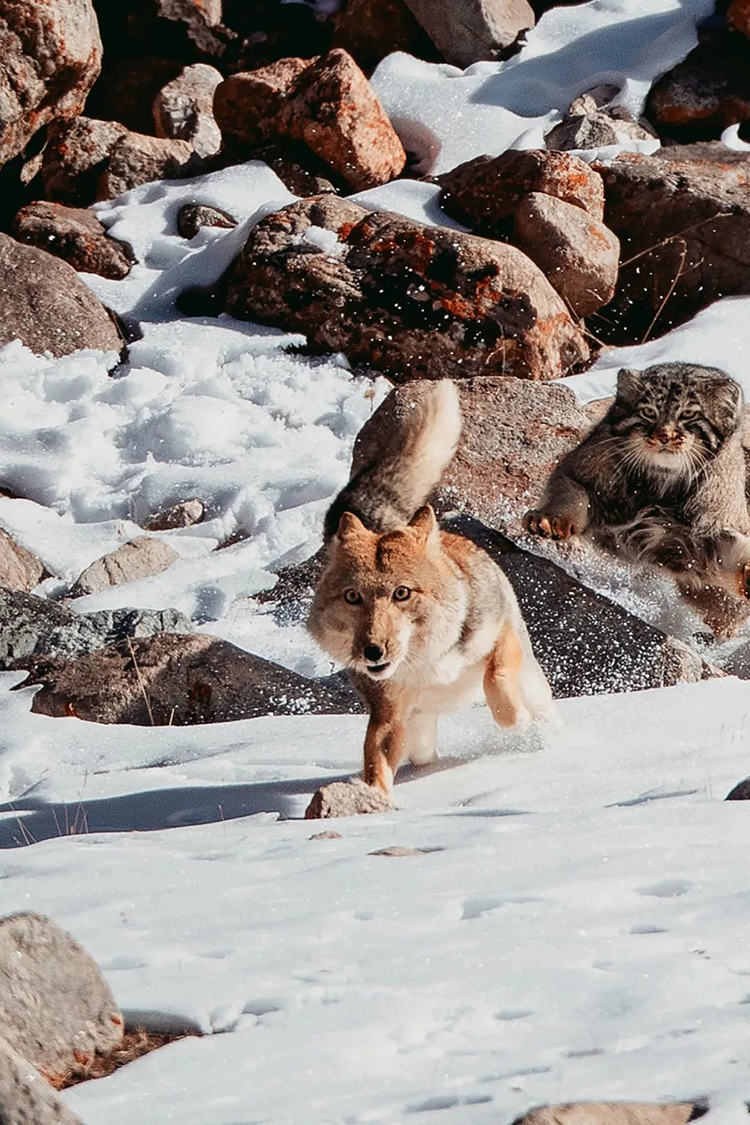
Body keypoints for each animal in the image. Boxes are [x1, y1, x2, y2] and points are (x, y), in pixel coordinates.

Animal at [308, 382, 555, 796]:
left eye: (402, 593)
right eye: (353, 597)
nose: (372, 651)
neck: (426, 661)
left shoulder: (497, 632)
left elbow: (498, 682)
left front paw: (515, 721)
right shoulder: (388, 714)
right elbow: (375, 766)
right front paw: (373, 801)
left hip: (535, 682)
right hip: (419, 734)